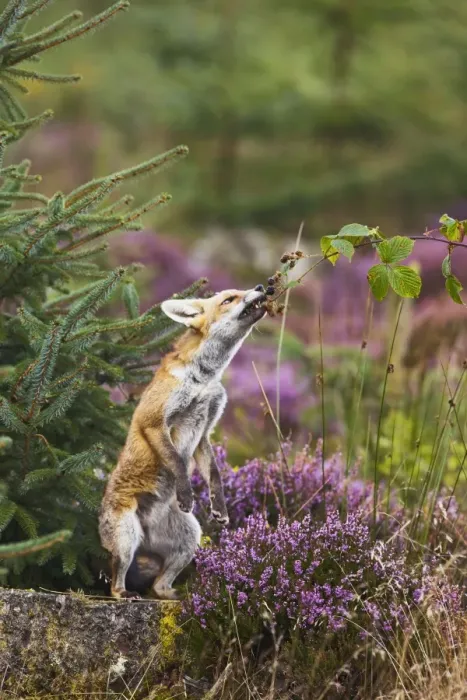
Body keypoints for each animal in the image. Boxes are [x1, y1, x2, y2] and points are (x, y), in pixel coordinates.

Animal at [99, 284, 267, 599]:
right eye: (229, 299)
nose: (263, 287)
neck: (203, 380)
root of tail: (146, 536)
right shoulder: (153, 422)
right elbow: (176, 460)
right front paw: (187, 494)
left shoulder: (204, 432)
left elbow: (215, 475)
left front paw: (219, 507)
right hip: (126, 539)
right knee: (116, 581)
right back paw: (124, 593)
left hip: (190, 539)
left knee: (158, 585)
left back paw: (178, 596)